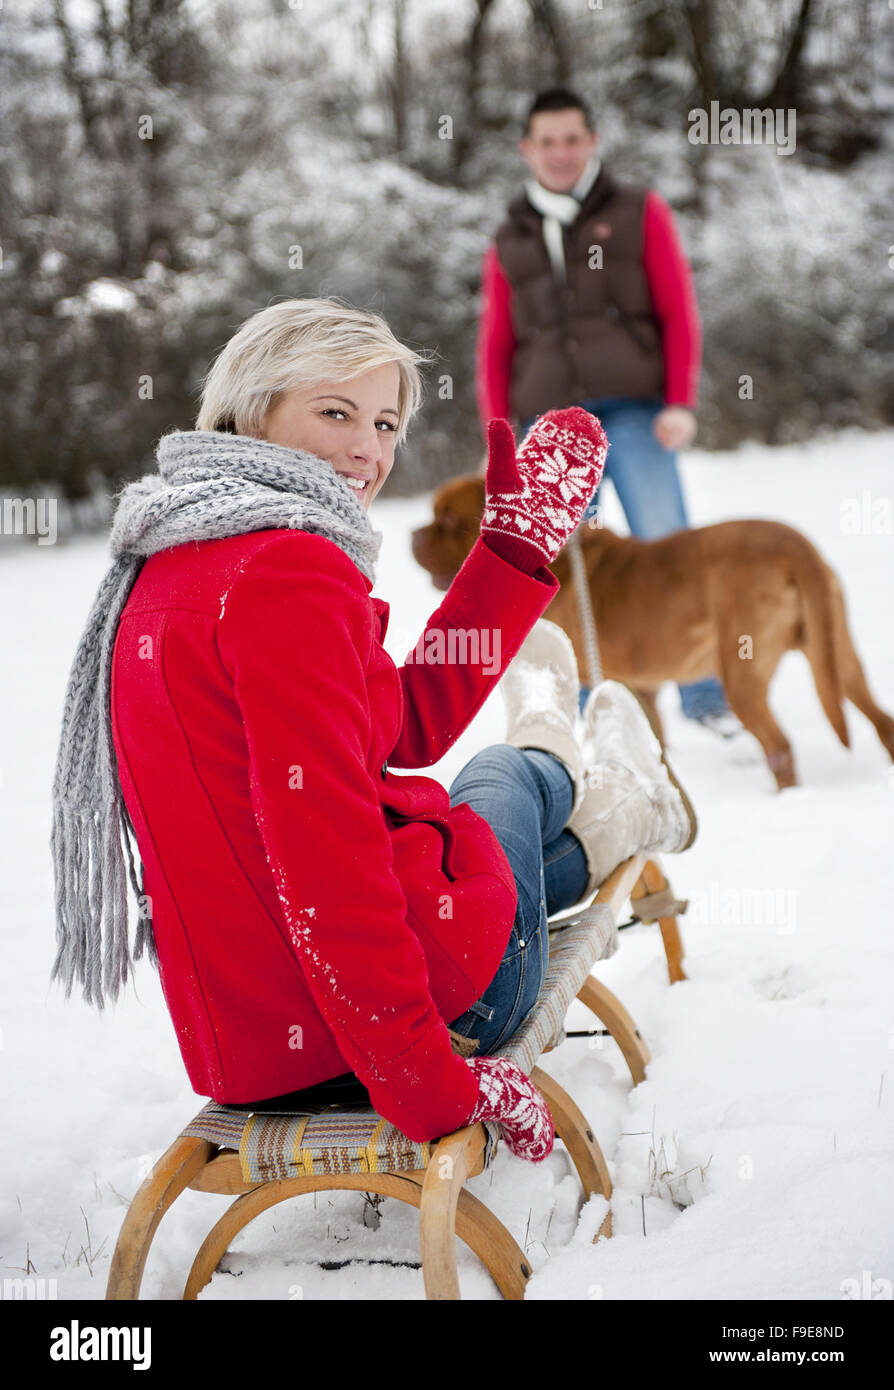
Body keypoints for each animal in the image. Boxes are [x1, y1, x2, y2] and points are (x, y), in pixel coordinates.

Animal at [411, 472, 894, 789]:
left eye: (447, 520)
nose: (411, 535)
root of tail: (797, 546)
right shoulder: (640, 687)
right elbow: (653, 739)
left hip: (741, 673)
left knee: (780, 746)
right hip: (839, 656)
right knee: (880, 719)